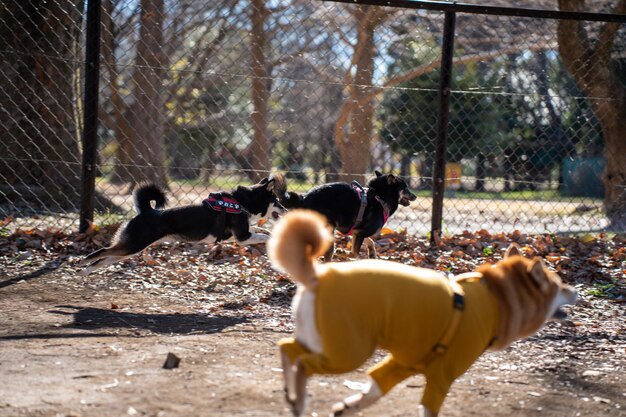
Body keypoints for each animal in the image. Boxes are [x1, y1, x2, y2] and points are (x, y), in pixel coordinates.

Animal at [280, 170, 414, 260]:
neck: (380, 197)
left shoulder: (356, 232)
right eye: (406, 188)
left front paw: (371, 252)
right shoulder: (360, 232)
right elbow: (355, 253)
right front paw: (344, 252)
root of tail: (304, 198)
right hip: (327, 231)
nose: (415, 196)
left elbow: (370, 241)